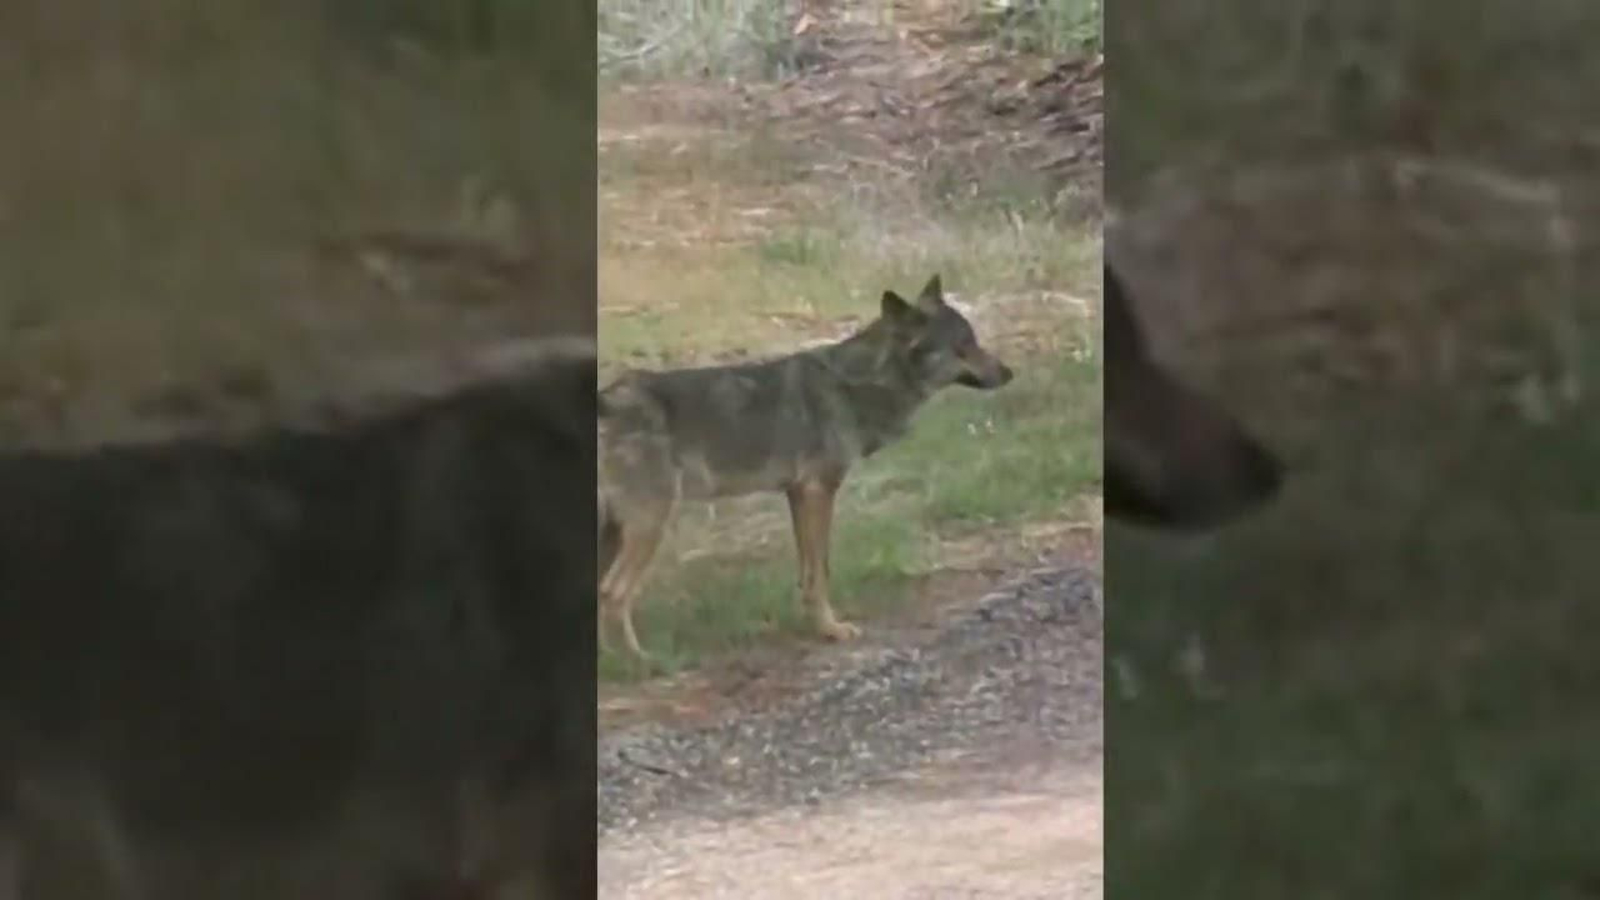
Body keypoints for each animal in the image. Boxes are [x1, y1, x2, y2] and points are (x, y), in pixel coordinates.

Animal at [597, 275, 1014, 665]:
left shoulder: (798, 494)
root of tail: (605, 402)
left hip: (618, 532)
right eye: (964, 347)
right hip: (651, 526)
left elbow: (806, 574)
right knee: (614, 593)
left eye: (975, 341)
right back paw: (641, 662)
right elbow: (821, 572)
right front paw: (832, 630)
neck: (859, 383)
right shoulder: (819, 491)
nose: (1009, 373)